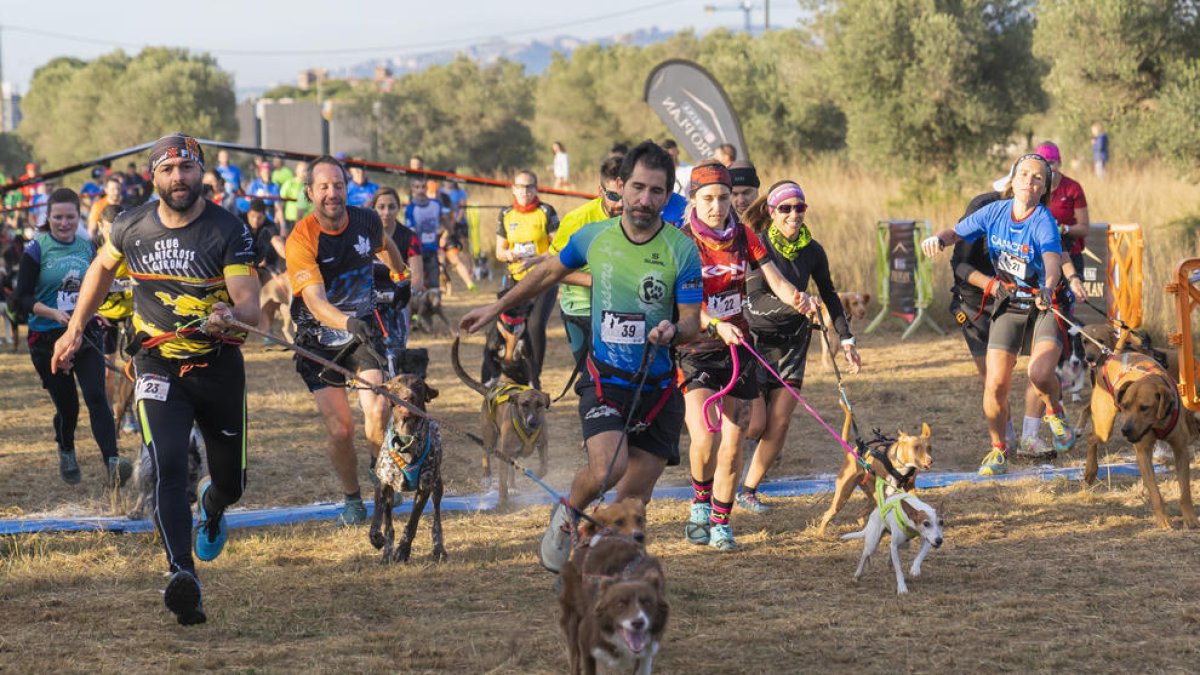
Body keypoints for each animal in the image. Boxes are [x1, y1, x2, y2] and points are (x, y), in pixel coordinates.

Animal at [451, 333, 549, 502]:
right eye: (524, 404)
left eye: (540, 405)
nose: (532, 422)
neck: (527, 431)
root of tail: (490, 390)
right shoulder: (504, 453)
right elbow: (502, 480)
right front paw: (503, 499)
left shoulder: (542, 445)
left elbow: (543, 468)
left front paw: (534, 477)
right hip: (490, 435)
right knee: (486, 453)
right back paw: (487, 478)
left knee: (512, 470)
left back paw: (513, 487)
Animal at [1080, 348, 1200, 528]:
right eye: (1125, 406)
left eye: (1145, 408)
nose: (1125, 430)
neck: (1156, 424)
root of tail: (1111, 356)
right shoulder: (1143, 453)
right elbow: (1155, 492)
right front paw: (1163, 520)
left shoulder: (1180, 450)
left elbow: (1185, 491)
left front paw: (1190, 518)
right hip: (1104, 427)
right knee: (1091, 438)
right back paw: (1090, 470)